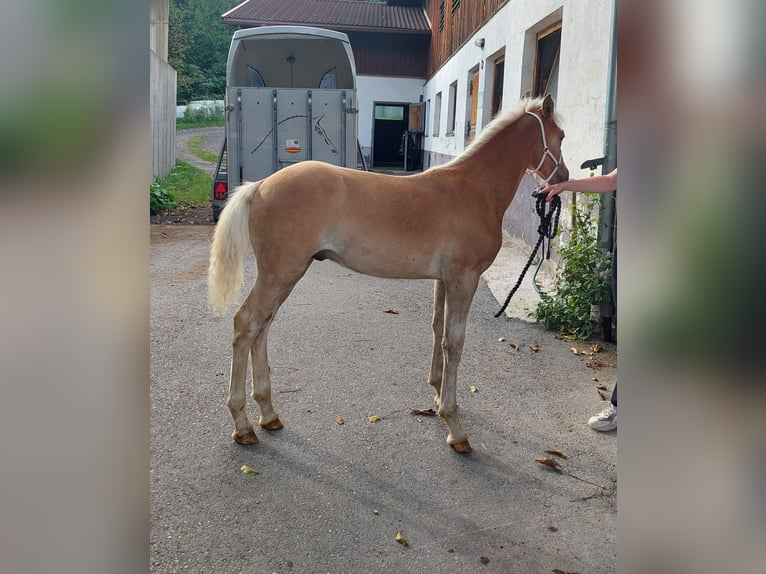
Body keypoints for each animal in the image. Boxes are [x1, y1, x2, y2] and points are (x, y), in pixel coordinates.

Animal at [210, 94, 568, 454]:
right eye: (562, 136)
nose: (563, 176)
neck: (474, 190)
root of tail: (260, 186)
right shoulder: (464, 279)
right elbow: (454, 343)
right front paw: (454, 425)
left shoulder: (444, 280)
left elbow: (437, 330)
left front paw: (436, 393)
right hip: (281, 273)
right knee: (246, 324)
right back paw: (243, 425)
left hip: (285, 276)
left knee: (262, 328)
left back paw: (268, 413)